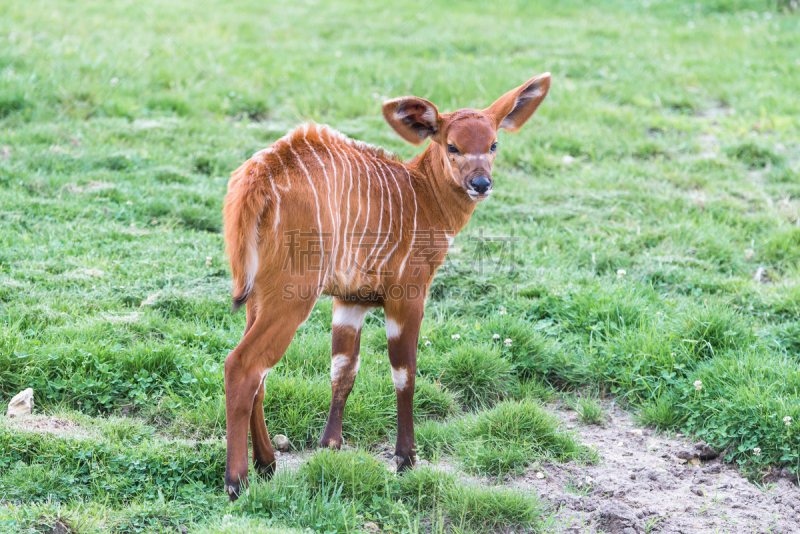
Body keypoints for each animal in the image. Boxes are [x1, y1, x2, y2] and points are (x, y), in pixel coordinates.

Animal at [223, 73, 552, 500]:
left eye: (493, 144)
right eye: (452, 145)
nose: (481, 183)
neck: (422, 195)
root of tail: (256, 178)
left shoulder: (351, 301)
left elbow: (343, 370)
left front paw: (330, 446)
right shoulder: (408, 295)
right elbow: (404, 372)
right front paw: (406, 459)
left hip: (259, 298)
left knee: (259, 375)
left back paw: (267, 462)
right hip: (291, 295)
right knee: (242, 365)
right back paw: (237, 480)